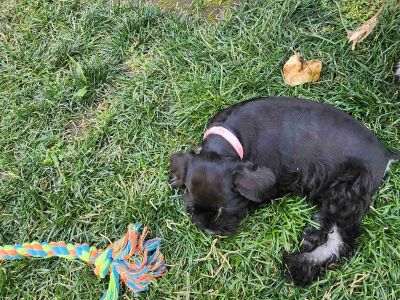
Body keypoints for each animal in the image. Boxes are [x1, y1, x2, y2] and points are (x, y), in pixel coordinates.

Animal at [169, 97, 396, 288]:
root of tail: (387, 154)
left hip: (348, 190)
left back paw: (303, 254)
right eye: (191, 208)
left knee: (338, 235)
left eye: (225, 211)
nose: (209, 230)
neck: (231, 137)